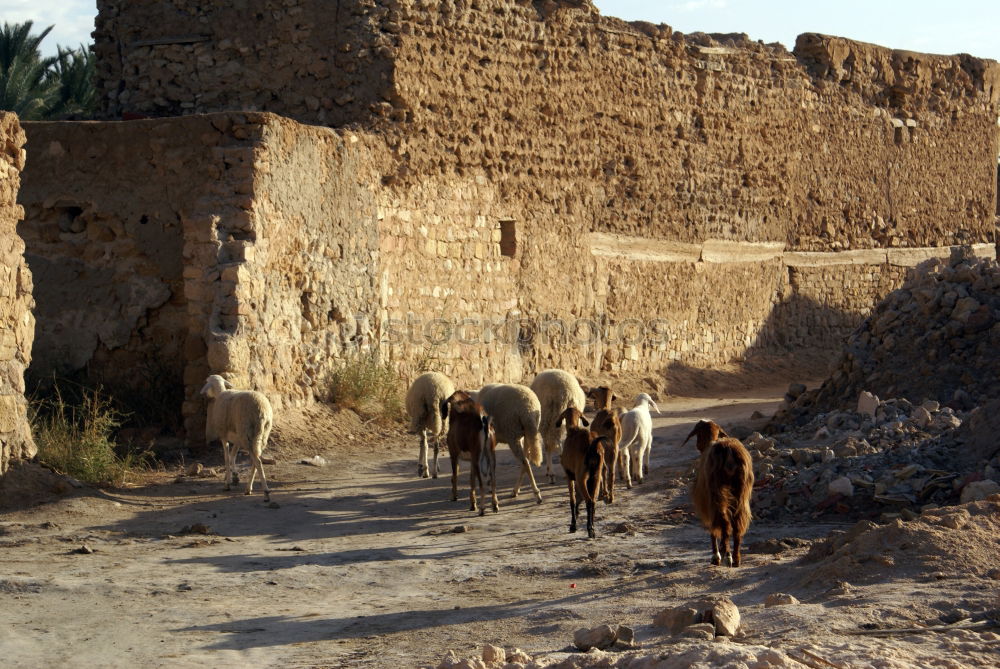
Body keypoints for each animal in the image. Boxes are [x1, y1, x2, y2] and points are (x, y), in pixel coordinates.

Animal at [440, 388, 498, 516]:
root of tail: (483, 420)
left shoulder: (454, 456)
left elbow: (454, 477)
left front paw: (454, 497)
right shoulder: (471, 461)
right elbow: (471, 482)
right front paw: (472, 504)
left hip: (478, 460)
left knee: (482, 485)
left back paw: (482, 509)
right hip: (490, 458)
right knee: (493, 482)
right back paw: (495, 505)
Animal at [552, 408, 604, 536]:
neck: (573, 431)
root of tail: (592, 445)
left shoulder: (569, 476)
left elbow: (573, 500)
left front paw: (573, 526)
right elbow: (578, 498)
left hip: (582, 478)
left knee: (589, 500)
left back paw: (590, 529)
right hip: (595, 477)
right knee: (593, 501)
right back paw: (592, 527)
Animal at [684, 420, 752, 568]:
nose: (698, 445)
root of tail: (729, 451)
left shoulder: (706, 498)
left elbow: (713, 528)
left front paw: (716, 557)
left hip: (716, 490)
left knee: (724, 521)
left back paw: (727, 556)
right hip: (741, 491)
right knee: (737, 523)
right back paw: (736, 559)